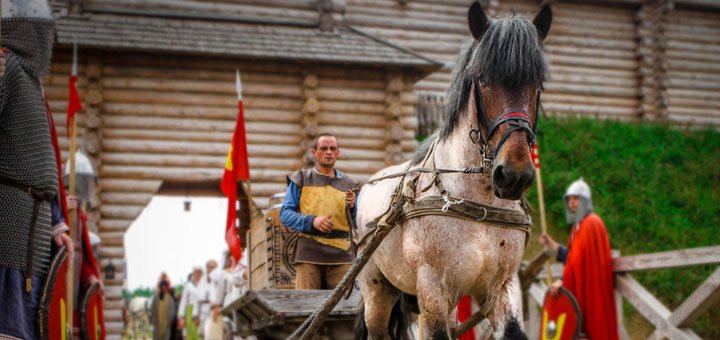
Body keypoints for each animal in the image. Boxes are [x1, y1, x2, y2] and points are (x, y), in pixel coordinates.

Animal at [354, 3, 552, 340]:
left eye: (537, 83)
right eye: (483, 79)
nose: (514, 175)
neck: (477, 203)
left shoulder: (501, 287)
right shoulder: (433, 288)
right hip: (377, 291)